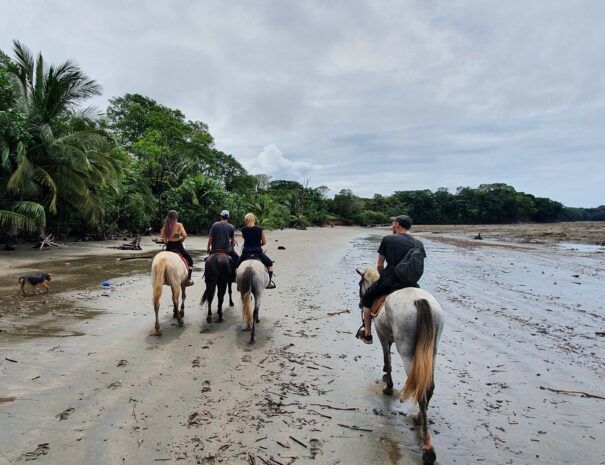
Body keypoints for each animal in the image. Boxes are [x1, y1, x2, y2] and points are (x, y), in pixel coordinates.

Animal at [354, 266, 444, 462]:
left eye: (360, 283)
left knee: (421, 390)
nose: (360, 303)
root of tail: (420, 301)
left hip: (407, 351)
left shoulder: (382, 335)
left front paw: (388, 385)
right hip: (430, 351)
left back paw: (427, 448)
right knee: (429, 386)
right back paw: (419, 418)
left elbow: (387, 357)